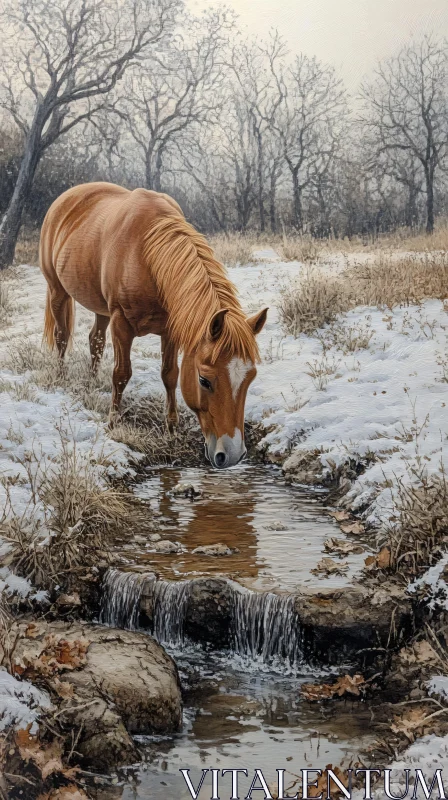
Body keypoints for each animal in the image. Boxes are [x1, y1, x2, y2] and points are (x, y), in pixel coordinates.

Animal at [39, 181, 266, 468]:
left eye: (250, 378)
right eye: (204, 380)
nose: (232, 455)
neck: (145, 256)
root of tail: (65, 198)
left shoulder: (170, 330)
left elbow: (170, 374)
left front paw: (172, 429)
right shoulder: (121, 324)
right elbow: (121, 374)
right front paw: (113, 423)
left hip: (100, 308)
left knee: (95, 340)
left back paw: (91, 381)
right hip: (57, 291)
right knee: (62, 336)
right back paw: (61, 377)